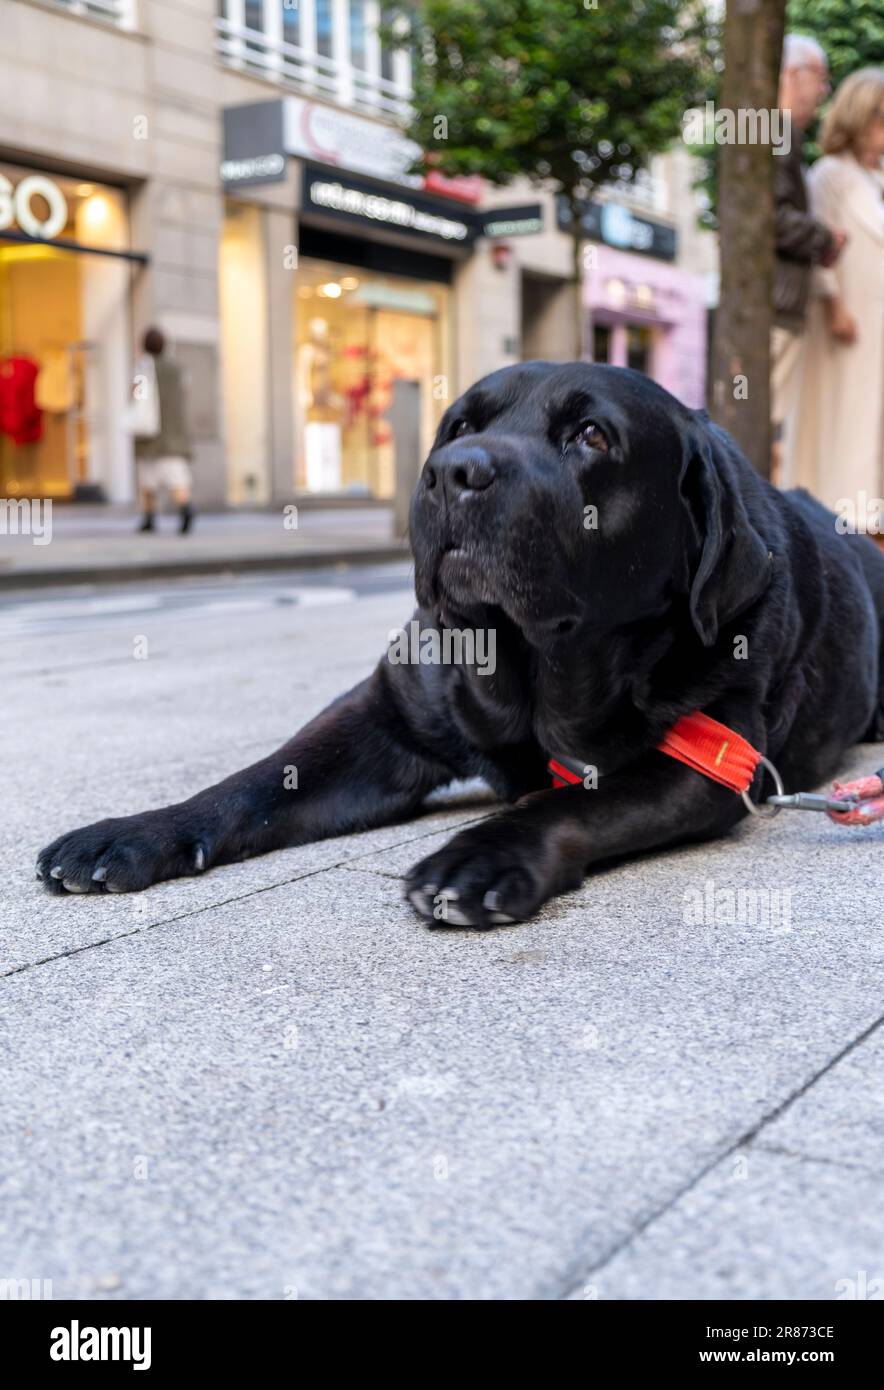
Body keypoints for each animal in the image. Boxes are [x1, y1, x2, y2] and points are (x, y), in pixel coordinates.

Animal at [38, 361, 884, 922]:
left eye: (590, 435)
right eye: (461, 427)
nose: (452, 471)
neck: (531, 674)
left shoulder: (707, 758)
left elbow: (573, 800)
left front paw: (482, 853)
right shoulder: (380, 717)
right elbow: (258, 779)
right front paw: (137, 831)